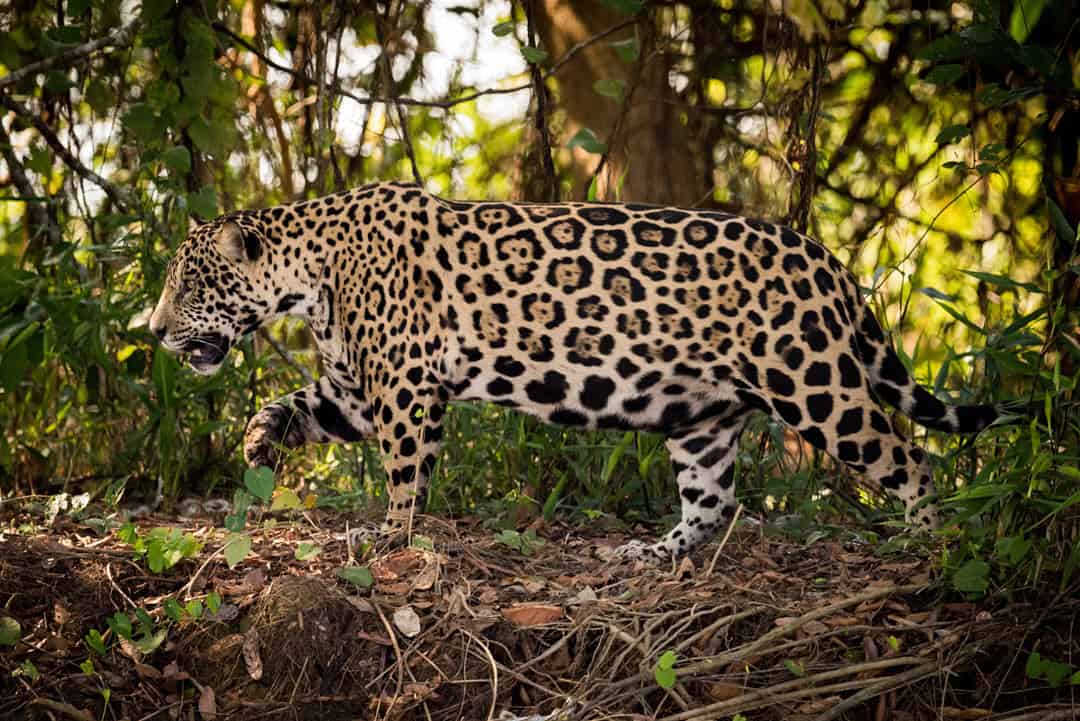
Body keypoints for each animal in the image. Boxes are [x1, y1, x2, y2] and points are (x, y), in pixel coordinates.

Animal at [149, 181, 1015, 561]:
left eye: (188, 284)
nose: (153, 332)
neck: (309, 273)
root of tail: (822, 255)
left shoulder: (404, 385)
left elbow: (403, 472)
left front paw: (391, 533)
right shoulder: (359, 388)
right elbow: (291, 402)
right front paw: (260, 443)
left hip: (816, 383)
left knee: (913, 457)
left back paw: (926, 543)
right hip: (701, 414)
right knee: (713, 500)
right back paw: (653, 552)